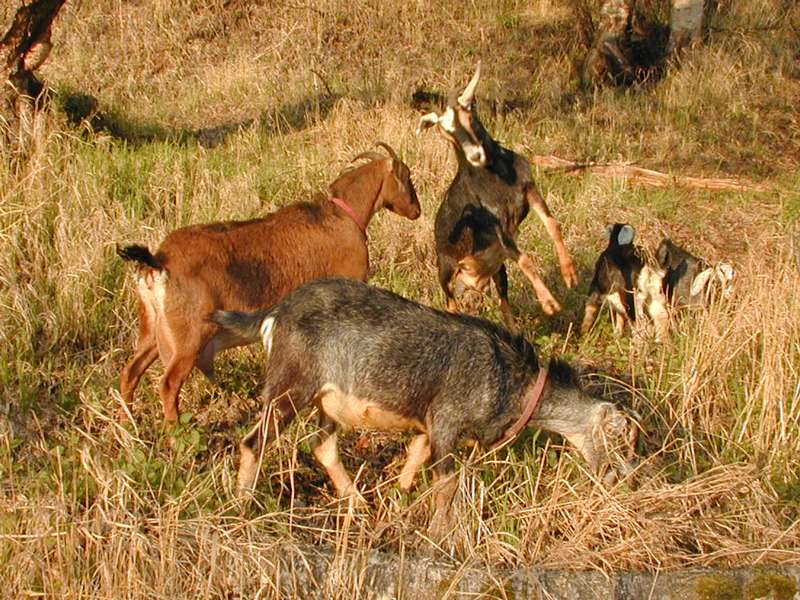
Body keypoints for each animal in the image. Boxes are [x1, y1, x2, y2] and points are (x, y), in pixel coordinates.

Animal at [118, 144, 422, 426]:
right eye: (407, 176)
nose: (416, 211)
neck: (341, 215)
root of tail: (158, 261)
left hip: (152, 331)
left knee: (130, 372)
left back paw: (128, 422)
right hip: (188, 339)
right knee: (168, 385)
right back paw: (175, 435)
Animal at [212, 278, 636, 536]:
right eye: (622, 441)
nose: (625, 479)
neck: (514, 379)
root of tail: (276, 313)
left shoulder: (426, 425)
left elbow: (414, 459)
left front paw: (399, 503)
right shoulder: (447, 420)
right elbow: (446, 483)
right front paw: (441, 534)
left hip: (327, 403)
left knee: (323, 446)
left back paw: (359, 503)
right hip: (291, 388)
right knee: (254, 442)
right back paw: (243, 507)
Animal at [416, 63, 580, 330]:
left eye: (468, 113)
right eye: (446, 132)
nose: (475, 155)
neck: (497, 177)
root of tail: (472, 282)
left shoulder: (529, 190)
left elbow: (553, 225)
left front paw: (570, 275)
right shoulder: (497, 226)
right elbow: (525, 260)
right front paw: (549, 303)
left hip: (498, 271)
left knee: (503, 299)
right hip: (446, 271)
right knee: (451, 305)